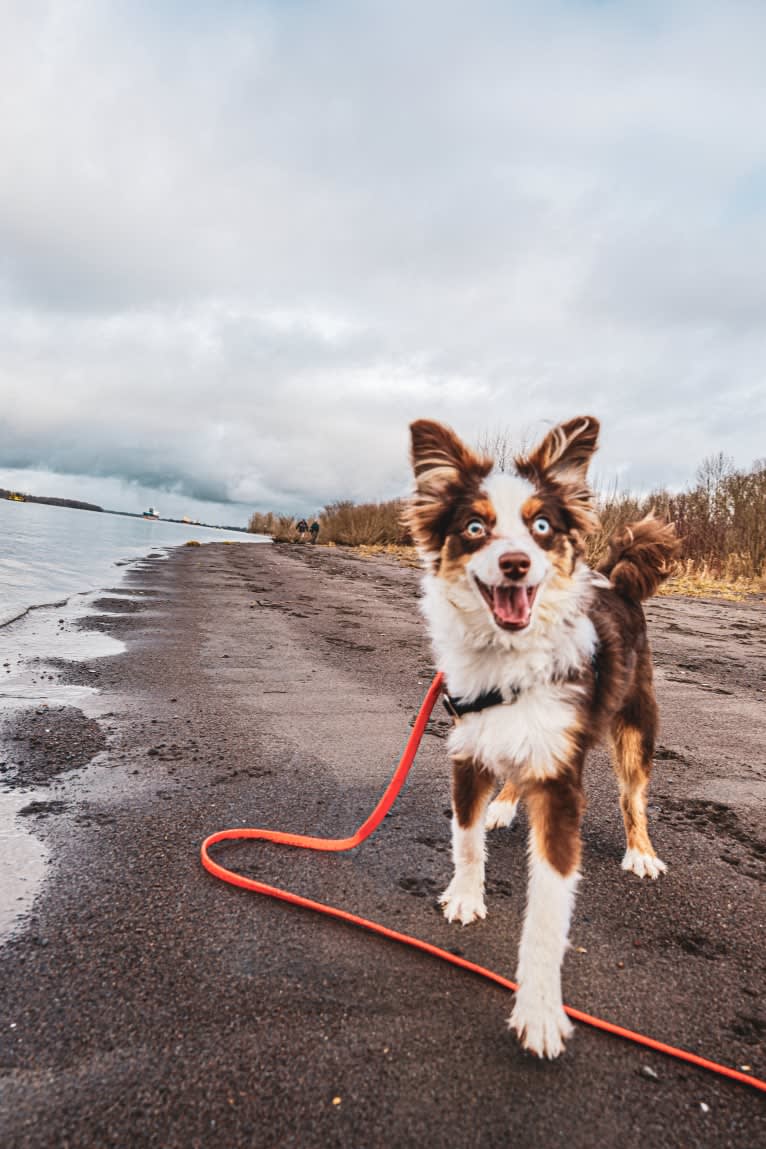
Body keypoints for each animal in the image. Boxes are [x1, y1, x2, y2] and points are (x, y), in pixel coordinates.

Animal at [404, 413, 679, 1057]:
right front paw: (466, 896)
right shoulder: (466, 752)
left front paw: (540, 1012)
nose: (515, 563)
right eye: (475, 528)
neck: (510, 662)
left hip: (636, 725)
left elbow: (550, 912)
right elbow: (465, 840)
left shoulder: (561, 787)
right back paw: (506, 805)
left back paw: (641, 853)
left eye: (542, 527)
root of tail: (618, 583)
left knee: (633, 798)